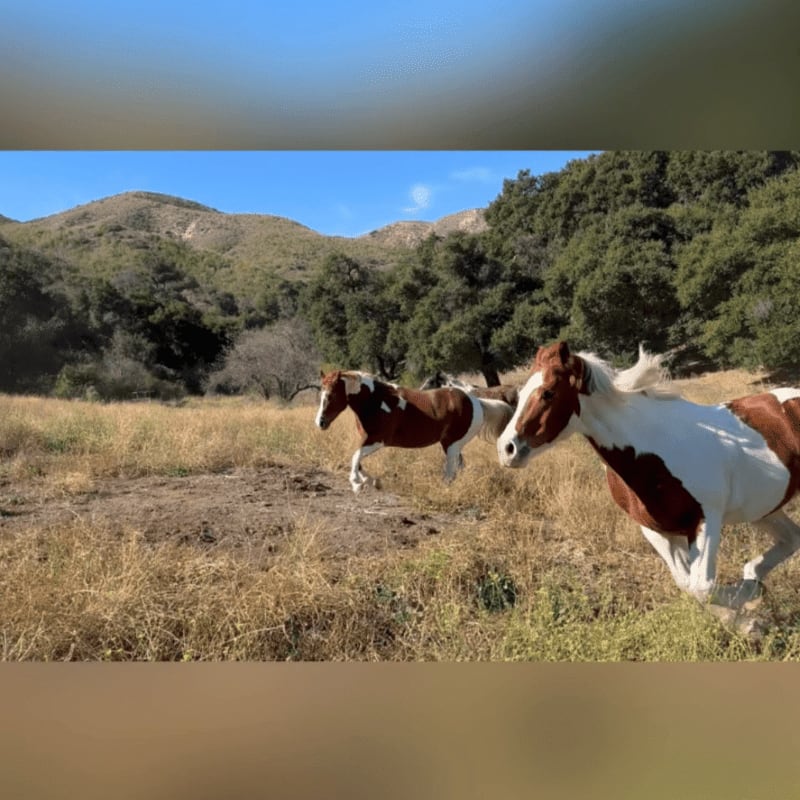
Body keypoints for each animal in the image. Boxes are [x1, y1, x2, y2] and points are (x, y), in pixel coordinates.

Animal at [316, 370, 514, 493]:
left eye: (331, 395)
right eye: (321, 394)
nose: (320, 422)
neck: (376, 400)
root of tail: (477, 401)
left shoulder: (377, 440)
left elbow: (355, 457)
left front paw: (357, 484)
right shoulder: (367, 440)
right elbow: (358, 461)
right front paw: (372, 482)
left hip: (451, 444)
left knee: (451, 472)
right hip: (452, 445)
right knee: (458, 468)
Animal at [497, 340, 800, 612]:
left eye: (548, 393)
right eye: (520, 394)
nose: (507, 449)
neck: (653, 448)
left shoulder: (706, 520)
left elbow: (702, 586)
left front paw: (748, 620)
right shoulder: (656, 531)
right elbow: (687, 584)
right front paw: (747, 604)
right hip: (764, 509)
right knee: (791, 538)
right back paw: (753, 583)